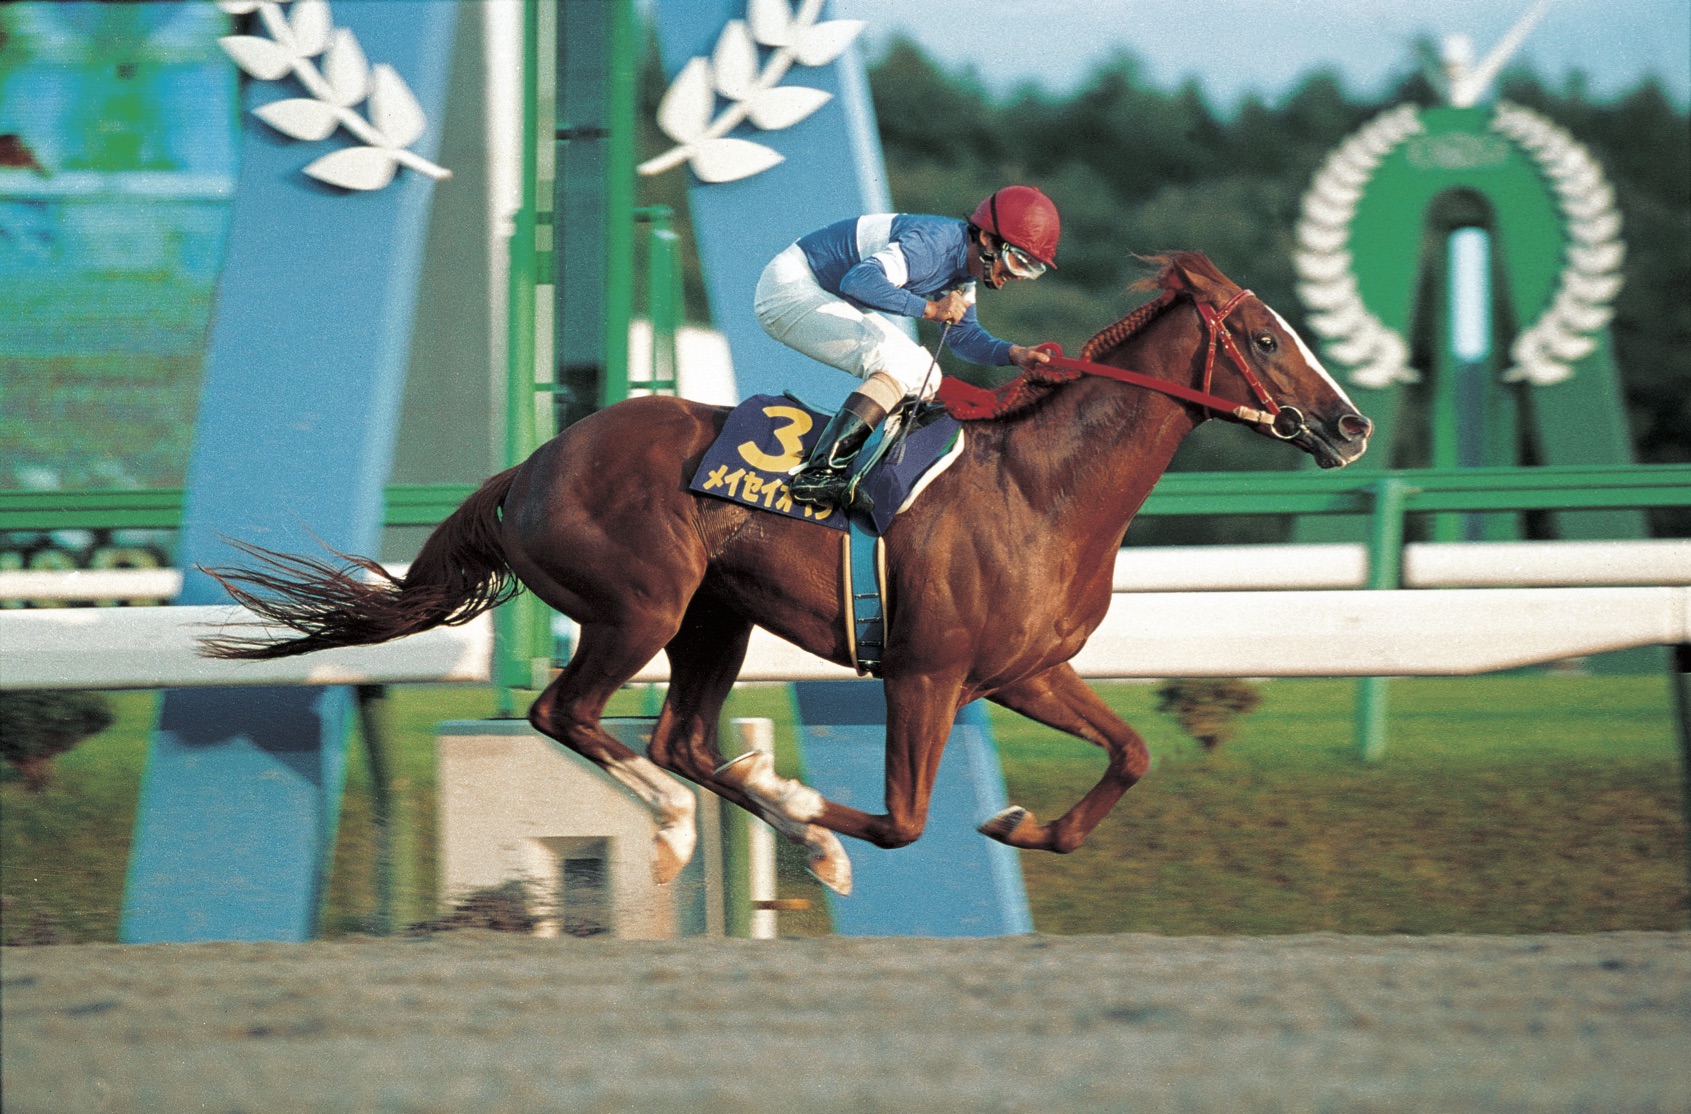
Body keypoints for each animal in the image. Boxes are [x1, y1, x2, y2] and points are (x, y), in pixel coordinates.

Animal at [204, 253, 1373, 899]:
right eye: (1265, 336)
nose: (1351, 425)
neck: (1040, 490)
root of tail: (531, 463)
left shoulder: (1024, 672)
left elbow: (1130, 752)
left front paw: (1024, 827)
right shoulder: (926, 674)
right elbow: (902, 819)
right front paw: (815, 803)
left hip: (713, 621)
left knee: (677, 738)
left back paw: (768, 829)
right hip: (638, 608)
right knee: (566, 714)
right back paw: (688, 828)